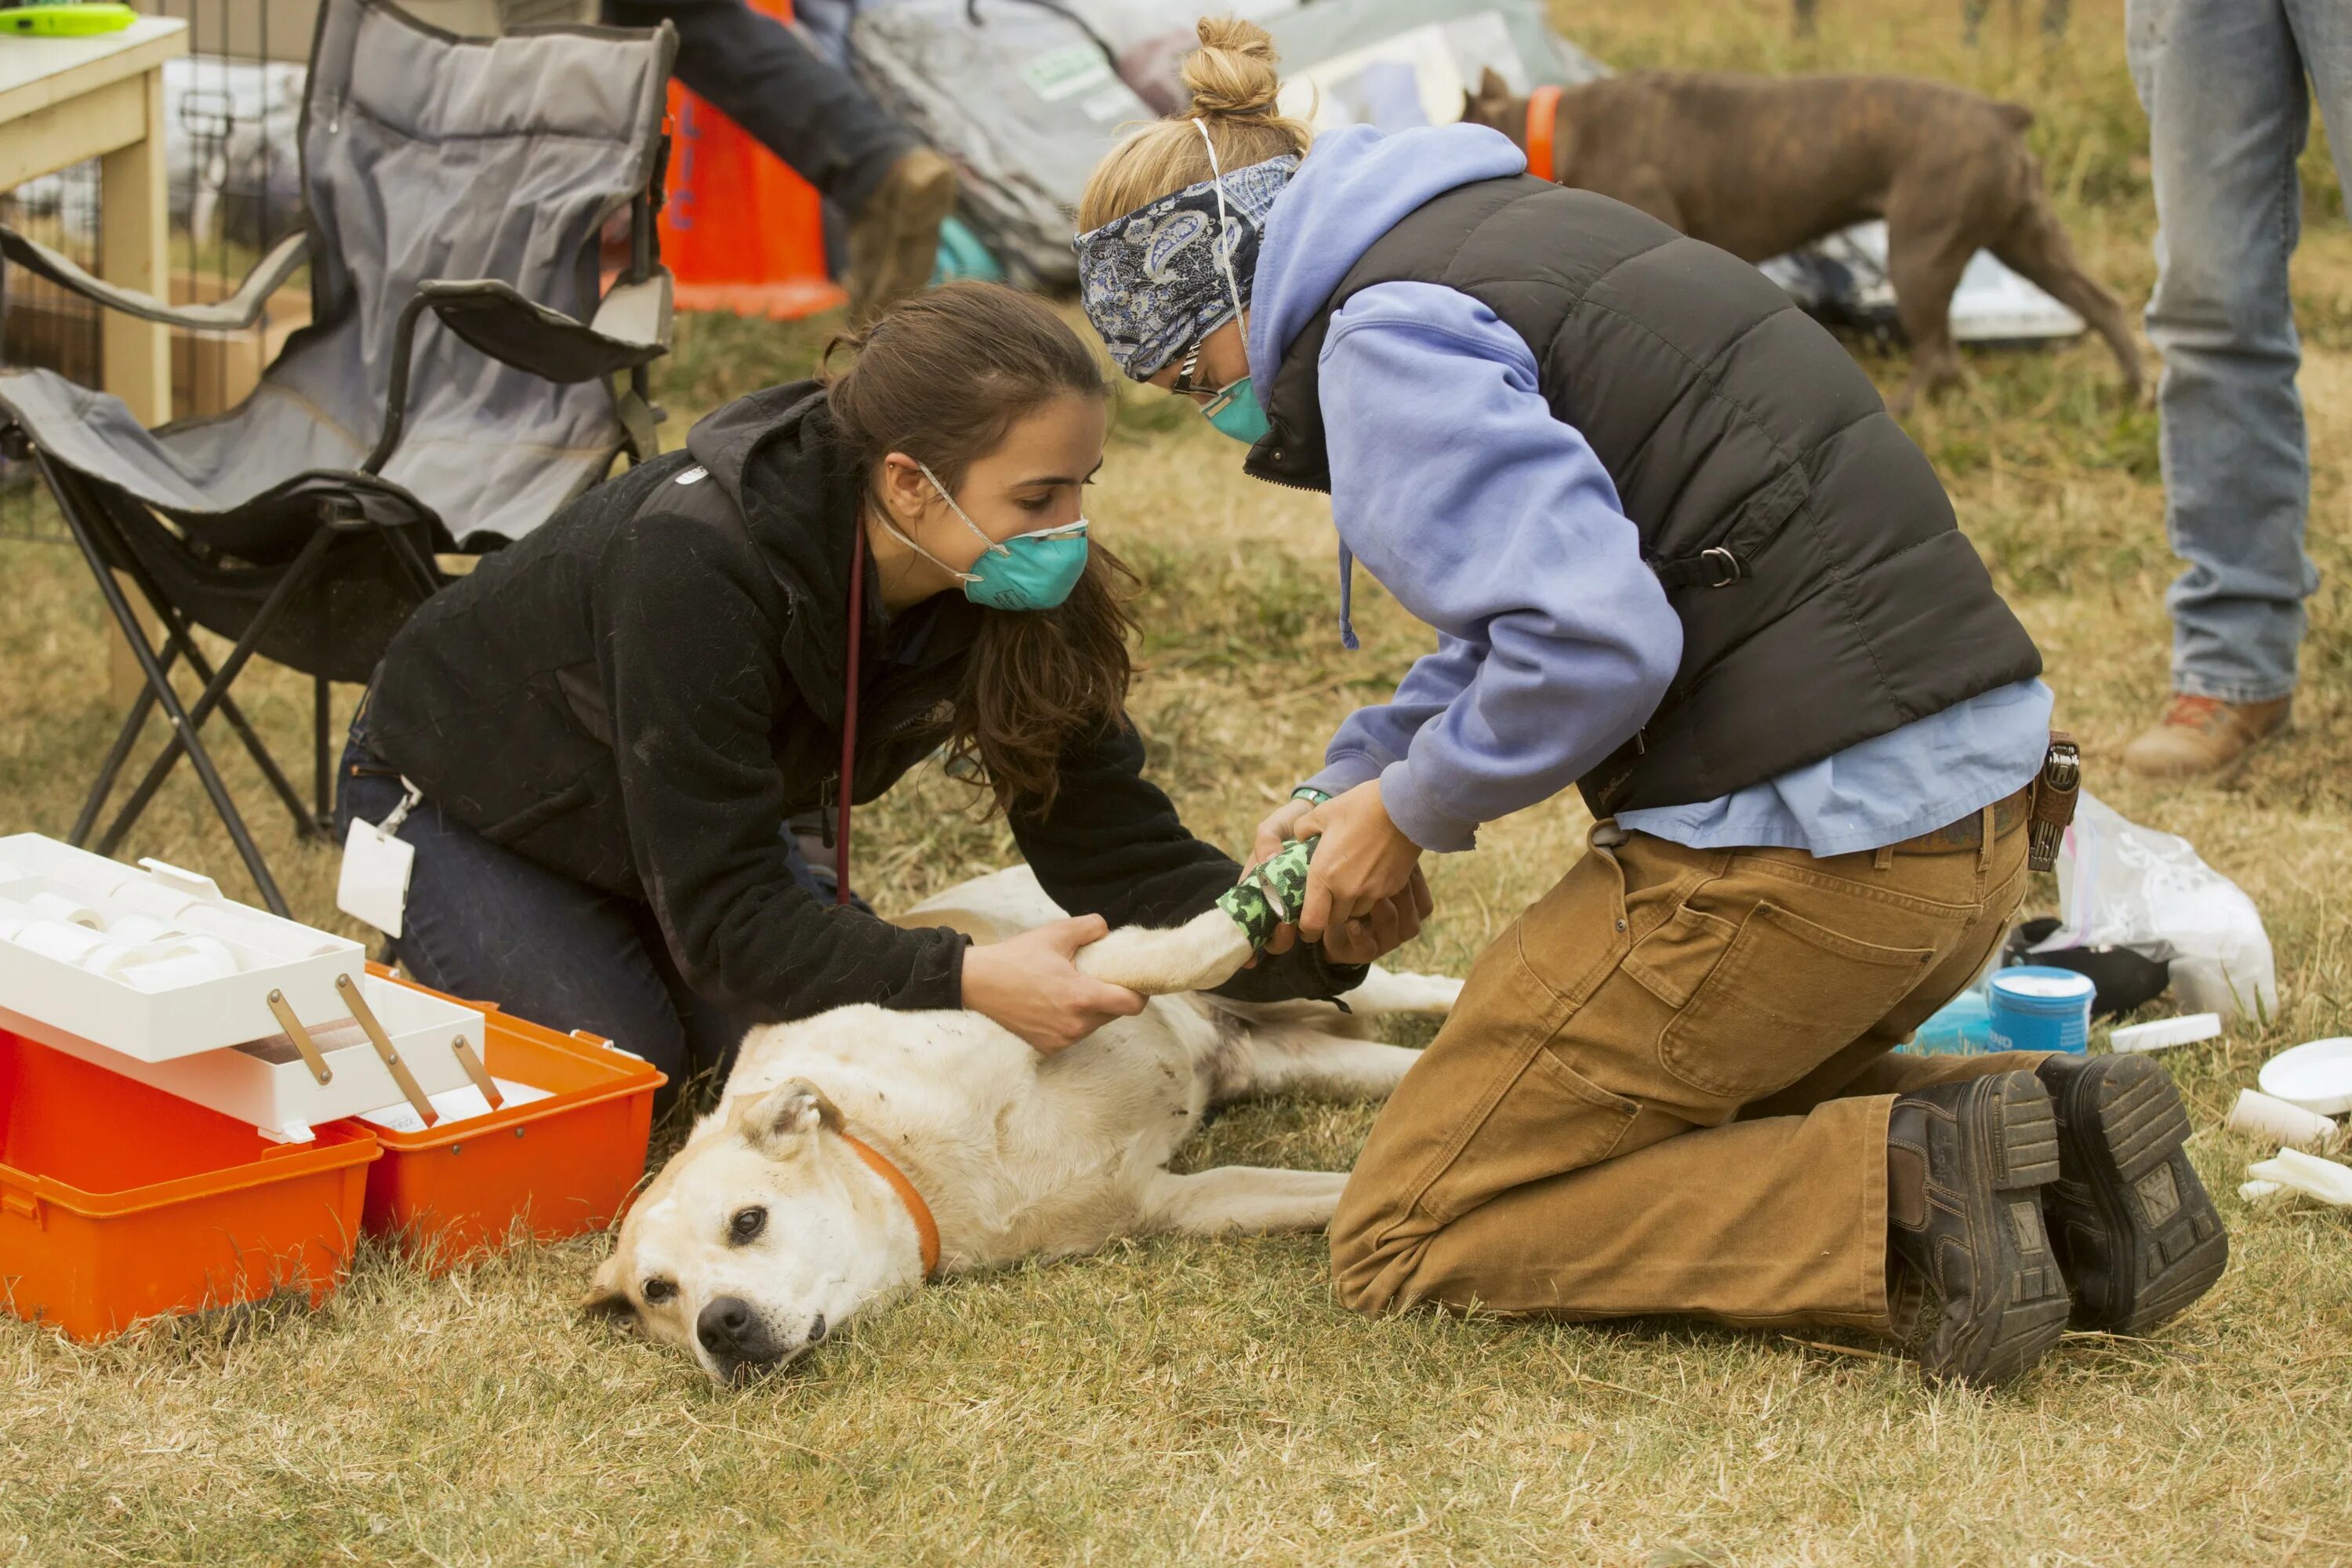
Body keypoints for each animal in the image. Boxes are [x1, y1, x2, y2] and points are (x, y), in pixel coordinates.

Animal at [583, 865, 1449, 1392]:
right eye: (657, 1291)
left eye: (747, 1221)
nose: (718, 1327)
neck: (906, 1160)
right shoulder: (1173, 1202)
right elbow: (1337, 1197)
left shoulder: (1064, 976)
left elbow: (1178, 954)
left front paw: (1267, 895)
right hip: (1295, 1056)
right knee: (1405, 1065)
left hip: (1291, 992)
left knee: (1418, 987)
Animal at [1458, 67, 2145, 411]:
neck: (1551, 127)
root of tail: (2001, 114)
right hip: (2025, 237)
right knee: (2103, 304)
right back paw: (2135, 393)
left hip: (1920, 252)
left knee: (1939, 352)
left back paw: (1905, 406)